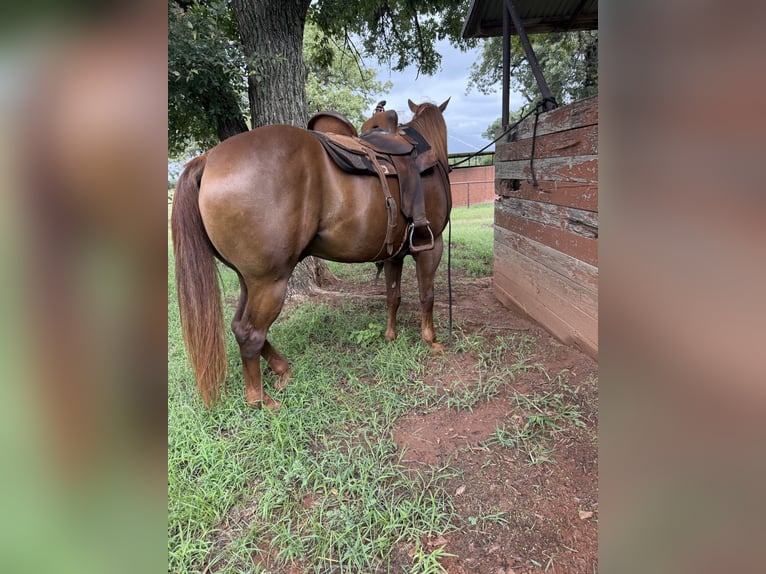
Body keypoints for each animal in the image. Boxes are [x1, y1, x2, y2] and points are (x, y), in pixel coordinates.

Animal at [171, 99, 451, 409]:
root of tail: (208, 158)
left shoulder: (394, 256)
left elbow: (393, 297)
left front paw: (391, 335)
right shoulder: (431, 246)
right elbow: (427, 295)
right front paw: (431, 339)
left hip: (249, 280)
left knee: (238, 326)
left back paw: (281, 369)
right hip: (270, 281)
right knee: (250, 332)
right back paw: (259, 398)